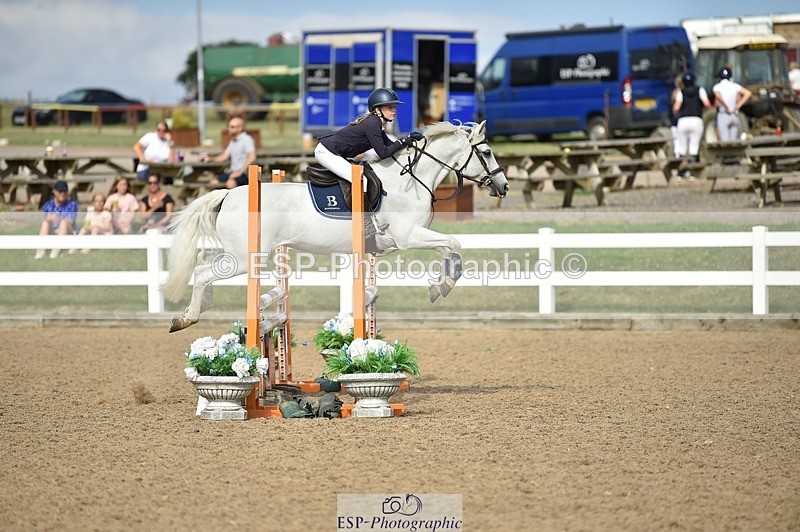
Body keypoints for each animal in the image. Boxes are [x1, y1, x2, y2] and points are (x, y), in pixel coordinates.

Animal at [163, 120, 509, 332]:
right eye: (487, 152)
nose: (503, 187)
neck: (410, 179)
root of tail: (228, 194)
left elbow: (449, 249)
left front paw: (440, 285)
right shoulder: (408, 236)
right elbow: (452, 243)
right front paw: (442, 286)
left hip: (239, 253)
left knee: (204, 264)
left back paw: (200, 308)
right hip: (245, 257)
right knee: (203, 272)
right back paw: (187, 318)